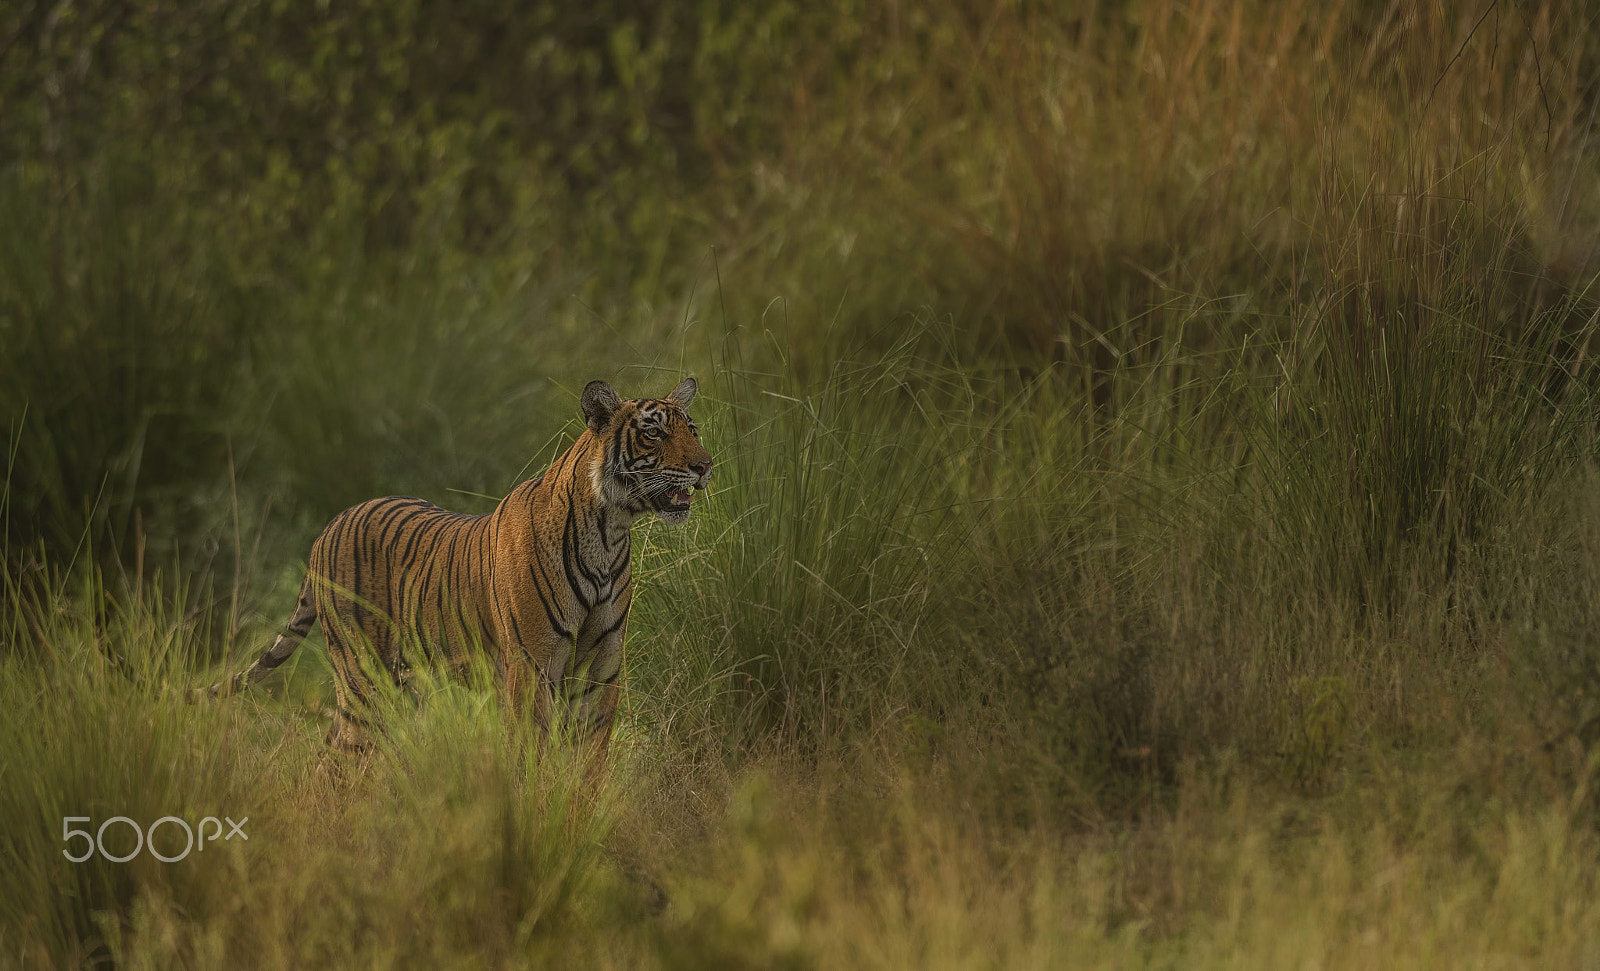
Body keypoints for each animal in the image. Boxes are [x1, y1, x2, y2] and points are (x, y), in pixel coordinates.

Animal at [195, 380, 713, 767]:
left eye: (692, 429)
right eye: (655, 433)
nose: (705, 465)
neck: (610, 532)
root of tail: (327, 528)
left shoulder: (599, 671)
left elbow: (588, 769)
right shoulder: (531, 669)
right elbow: (533, 759)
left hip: (405, 686)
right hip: (364, 680)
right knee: (339, 760)